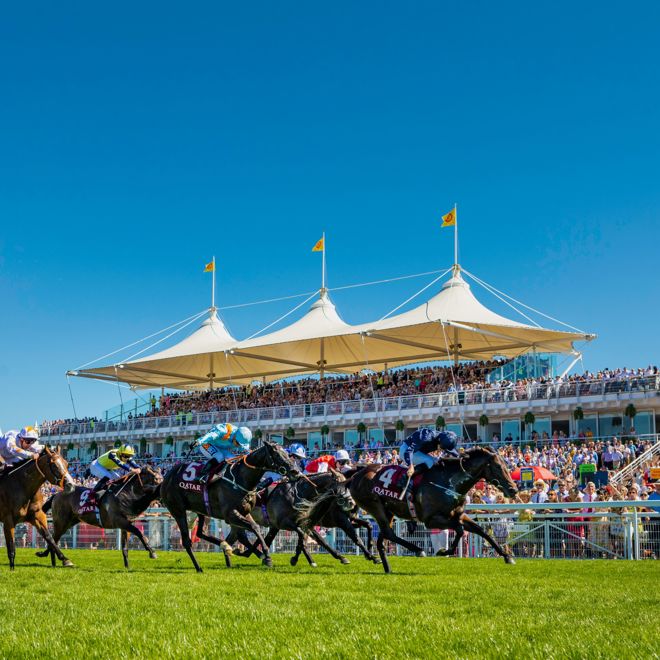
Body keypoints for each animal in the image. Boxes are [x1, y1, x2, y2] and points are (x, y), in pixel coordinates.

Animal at [161, 438, 300, 572]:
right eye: (276, 454)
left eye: (287, 454)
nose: (295, 472)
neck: (240, 478)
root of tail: (166, 477)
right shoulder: (230, 515)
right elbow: (254, 527)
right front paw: (267, 557)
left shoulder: (244, 512)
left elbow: (252, 530)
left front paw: (259, 554)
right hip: (178, 510)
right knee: (186, 541)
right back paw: (199, 567)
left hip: (201, 511)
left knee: (201, 533)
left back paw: (225, 546)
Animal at [296, 448, 520, 572]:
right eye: (497, 467)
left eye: (507, 466)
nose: (513, 489)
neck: (448, 480)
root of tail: (356, 475)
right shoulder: (431, 519)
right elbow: (459, 530)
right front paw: (444, 550)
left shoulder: (458, 514)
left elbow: (480, 531)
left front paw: (507, 556)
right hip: (376, 506)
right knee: (387, 533)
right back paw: (417, 550)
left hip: (387, 511)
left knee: (383, 536)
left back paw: (386, 565)